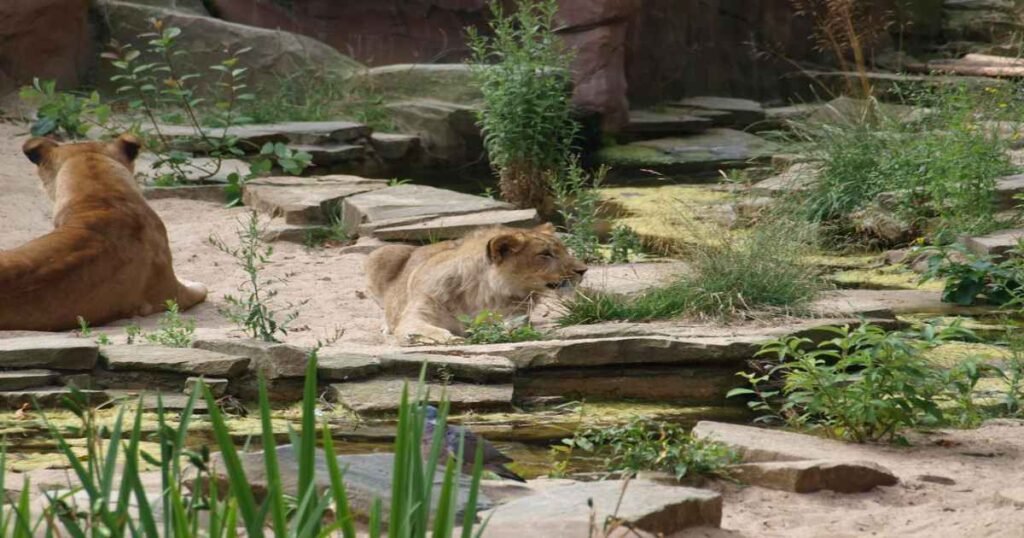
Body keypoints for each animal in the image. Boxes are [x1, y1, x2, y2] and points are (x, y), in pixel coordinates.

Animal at [366, 222, 589, 344]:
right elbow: (425, 329)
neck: (479, 294)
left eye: (564, 250)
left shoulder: (516, 315)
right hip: (380, 254)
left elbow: (509, 328)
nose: (583, 270)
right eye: (545, 254)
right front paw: (450, 339)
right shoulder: (416, 315)